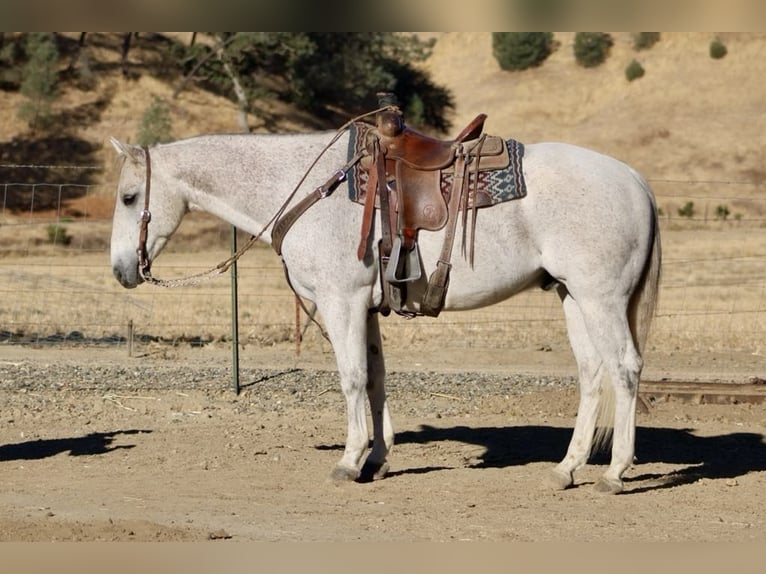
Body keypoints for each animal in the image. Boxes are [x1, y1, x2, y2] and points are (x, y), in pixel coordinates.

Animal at [109, 126, 661, 494]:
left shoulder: (341, 301)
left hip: (601, 298)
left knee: (625, 369)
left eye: (130, 196)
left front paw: (350, 460)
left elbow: (351, 378)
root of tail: (636, 179)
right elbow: (375, 379)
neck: (310, 189)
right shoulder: (367, 308)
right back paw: (567, 469)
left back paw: (615, 473)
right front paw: (378, 457)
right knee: (592, 373)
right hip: (573, 297)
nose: (120, 270)